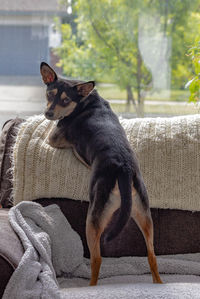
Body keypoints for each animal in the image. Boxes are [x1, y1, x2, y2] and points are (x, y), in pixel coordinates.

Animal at [39, 62, 162, 286]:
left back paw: (91, 286)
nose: (49, 114)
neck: (83, 101)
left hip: (93, 219)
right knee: (152, 255)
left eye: (65, 100)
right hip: (144, 213)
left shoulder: (54, 138)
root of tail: (123, 168)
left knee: (96, 259)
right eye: (49, 94)